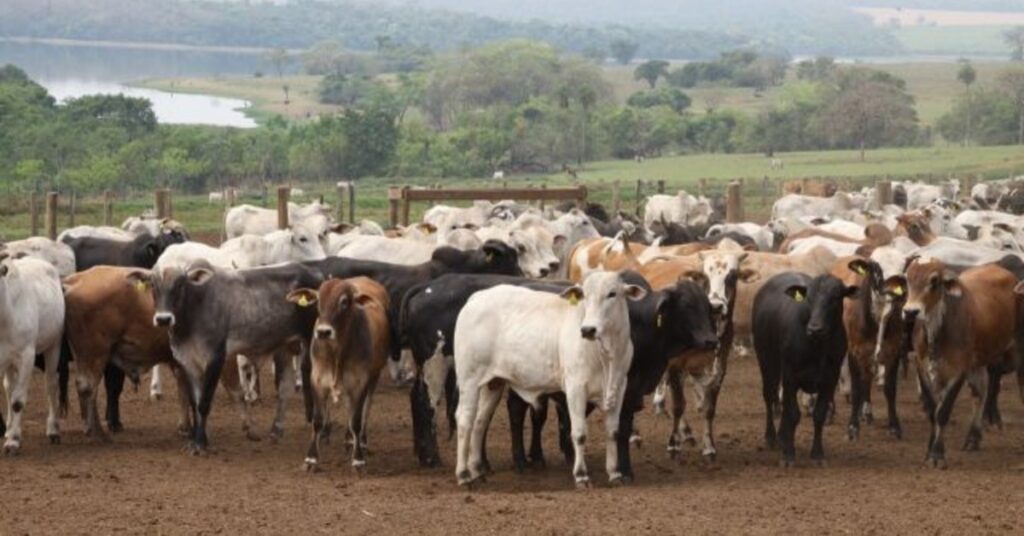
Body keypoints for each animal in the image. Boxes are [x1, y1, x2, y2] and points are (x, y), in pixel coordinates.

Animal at [0, 253, 64, 452]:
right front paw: (11, 433)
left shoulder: (27, 356)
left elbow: (18, 401)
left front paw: (13, 441)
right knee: (9, 387)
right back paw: (9, 428)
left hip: (54, 345)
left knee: (51, 384)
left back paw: (53, 430)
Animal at [288, 276, 391, 473]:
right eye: (318, 300)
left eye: (344, 302)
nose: (323, 332)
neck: (336, 353)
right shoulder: (317, 380)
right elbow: (318, 420)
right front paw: (311, 459)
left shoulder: (360, 382)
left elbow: (356, 420)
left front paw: (358, 460)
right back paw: (349, 440)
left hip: (374, 377)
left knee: (365, 410)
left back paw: (360, 442)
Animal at [452, 270, 643, 487]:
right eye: (584, 295)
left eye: (612, 294)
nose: (588, 330)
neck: (607, 355)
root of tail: (476, 298)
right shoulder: (575, 389)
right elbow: (579, 433)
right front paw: (581, 475)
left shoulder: (618, 388)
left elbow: (613, 432)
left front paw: (615, 473)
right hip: (469, 379)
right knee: (465, 420)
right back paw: (464, 475)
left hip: (493, 383)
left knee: (480, 422)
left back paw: (477, 470)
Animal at [753, 272, 856, 465]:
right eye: (809, 298)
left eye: (835, 297)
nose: (815, 329)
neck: (817, 347)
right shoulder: (790, 376)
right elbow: (794, 414)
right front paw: (788, 455)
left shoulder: (830, 379)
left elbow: (819, 414)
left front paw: (817, 454)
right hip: (767, 361)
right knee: (769, 396)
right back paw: (771, 437)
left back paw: (782, 436)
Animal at [901, 258, 1019, 467]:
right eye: (908, 278)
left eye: (934, 280)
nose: (910, 312)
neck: (937, 332)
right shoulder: (922, 366)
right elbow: (932, 410)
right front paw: (929, 450)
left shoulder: (959, 370)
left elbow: (942, 412)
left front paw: (937, 455)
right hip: (977, 362)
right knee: (980, 392)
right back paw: (973, 437)